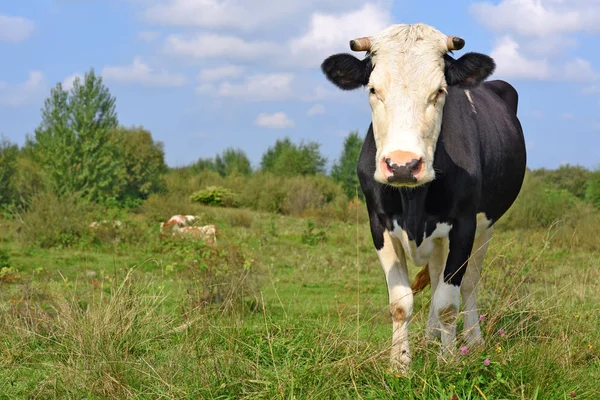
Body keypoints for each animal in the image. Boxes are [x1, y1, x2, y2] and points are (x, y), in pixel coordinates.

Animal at [318, 22, 524, 372]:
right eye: (373, 90)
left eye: (439, 91)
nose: (402, 164)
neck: (413, 203)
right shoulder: (379, 223)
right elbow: (401, 301)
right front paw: (400, 365)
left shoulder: (464, 223)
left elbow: (448, 303)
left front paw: (448, 360)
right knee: (439, 273)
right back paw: (430, 337)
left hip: (487, 225)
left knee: (469, 283)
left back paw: (472, 340)